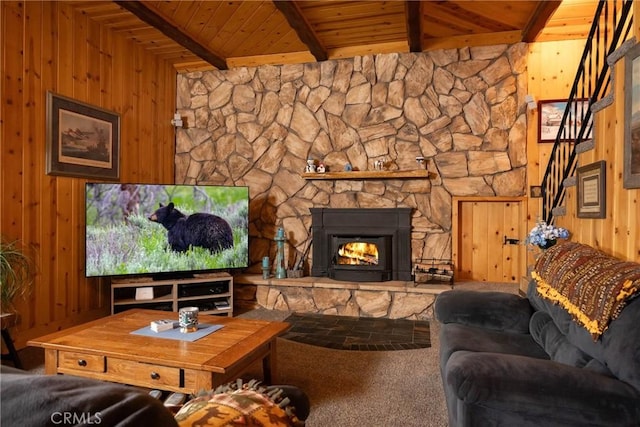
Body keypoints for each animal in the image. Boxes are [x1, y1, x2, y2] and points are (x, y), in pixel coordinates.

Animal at [87, 183, 250, 278]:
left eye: (157, 212)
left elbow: (177, 245)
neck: (172, 223)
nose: (148, 216)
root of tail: (229, 230)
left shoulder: (177, 232)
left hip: (213, 238)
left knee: (217, 250)